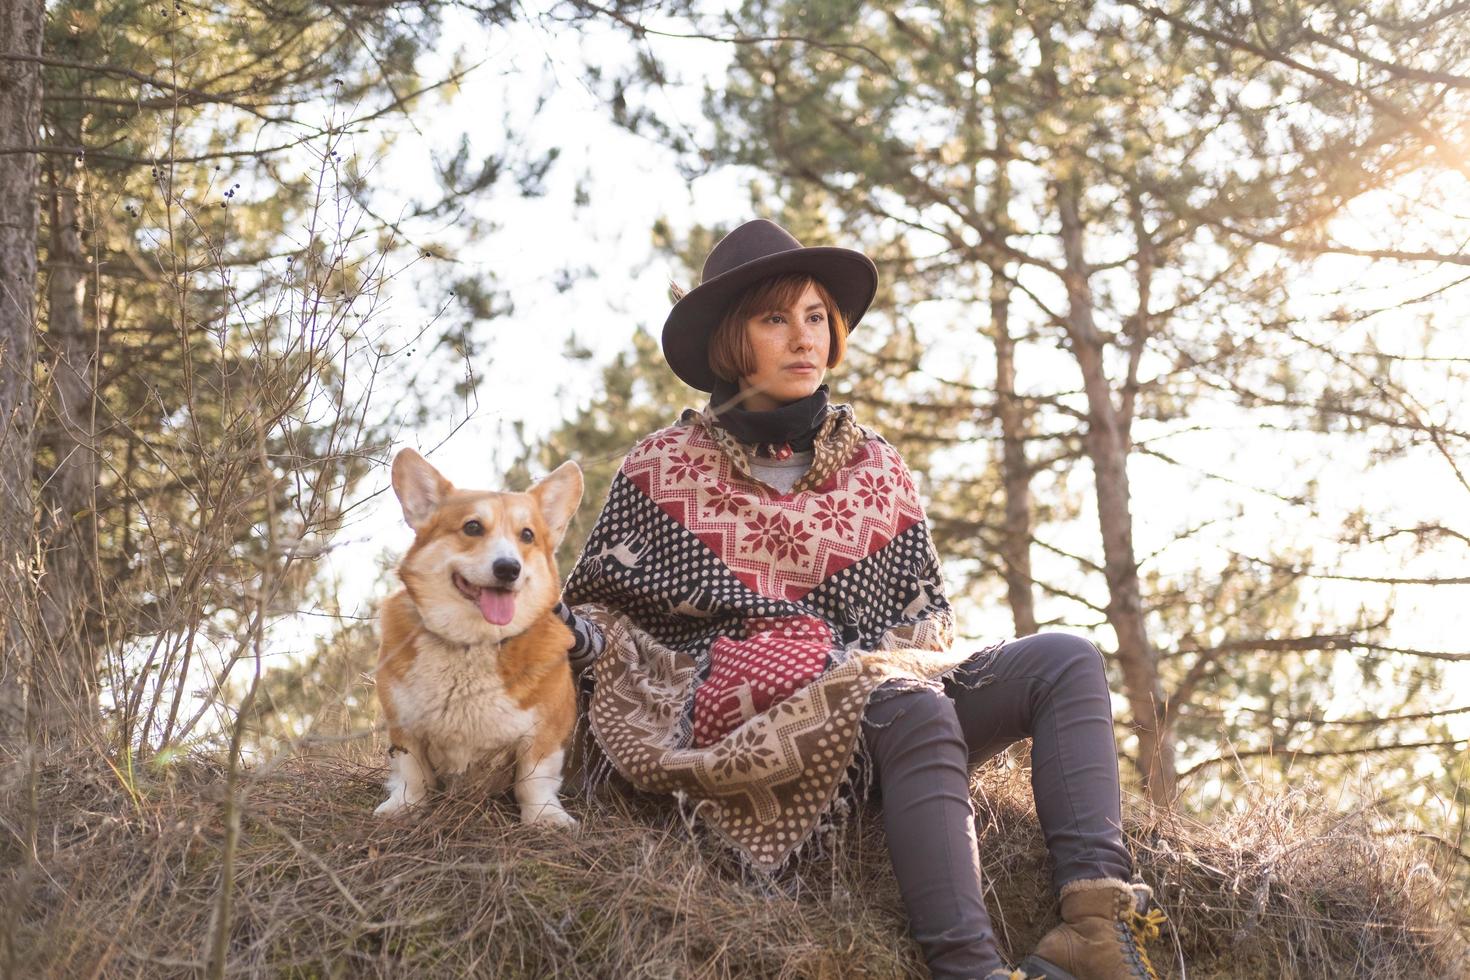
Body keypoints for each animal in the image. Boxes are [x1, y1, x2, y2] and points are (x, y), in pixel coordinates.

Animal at [373, 449, 585, 828]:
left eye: (527, 535)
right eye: (472, 527)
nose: (508, 568)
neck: (472, 643)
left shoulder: (547, 732)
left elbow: (534, 778)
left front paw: (545, 817)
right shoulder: (403, 726)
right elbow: (411, 772)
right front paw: (403, 807)